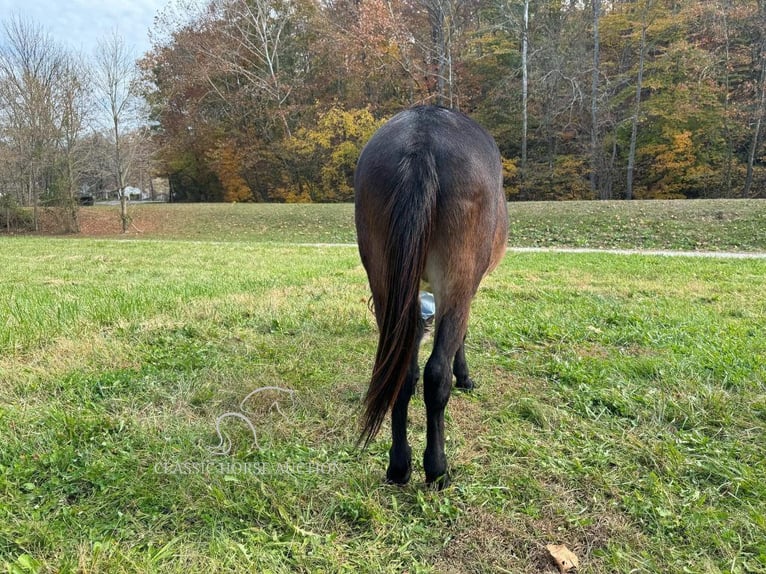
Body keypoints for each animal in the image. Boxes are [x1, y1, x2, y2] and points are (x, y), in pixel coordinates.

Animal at [354, 106, 510, 488]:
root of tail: (421, 139)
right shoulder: (466, 289)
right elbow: (461, 337)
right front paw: (465, 376)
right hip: (458, 278)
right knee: (435, 374)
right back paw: (437, 468)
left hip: (384, 280)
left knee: (401, 371)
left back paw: (399, 465)